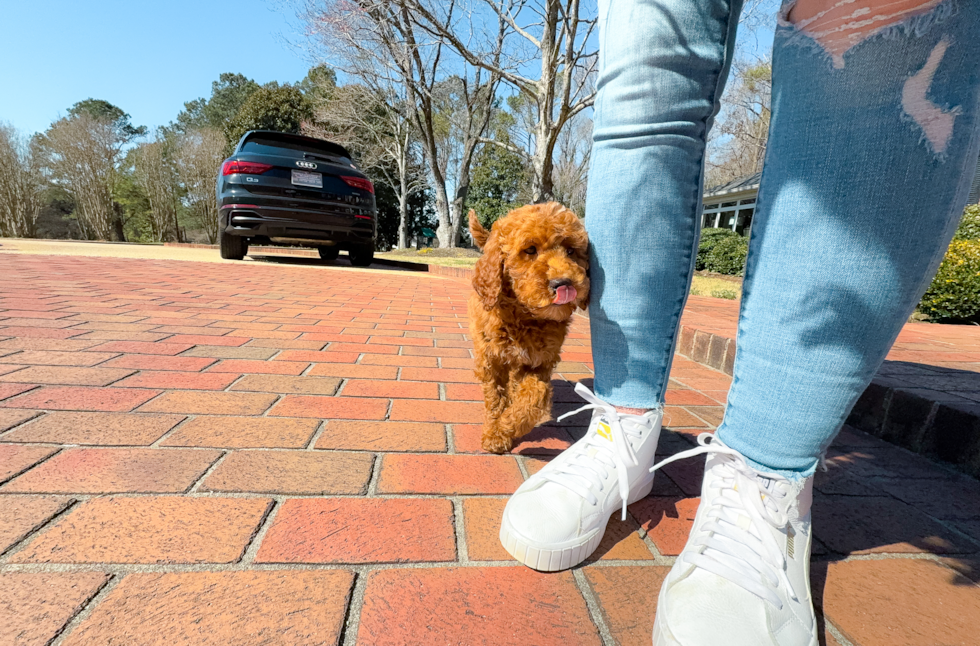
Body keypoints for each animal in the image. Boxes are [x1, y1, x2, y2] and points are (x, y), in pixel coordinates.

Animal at [468, 204, 588, 456]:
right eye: (530, 250)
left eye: (571, 251)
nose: (564, 283)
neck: (525, 317)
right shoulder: (491, 359)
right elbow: (495, 397)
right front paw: (495, 434)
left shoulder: (540, 360)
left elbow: (536, 394)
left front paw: (508, 425)